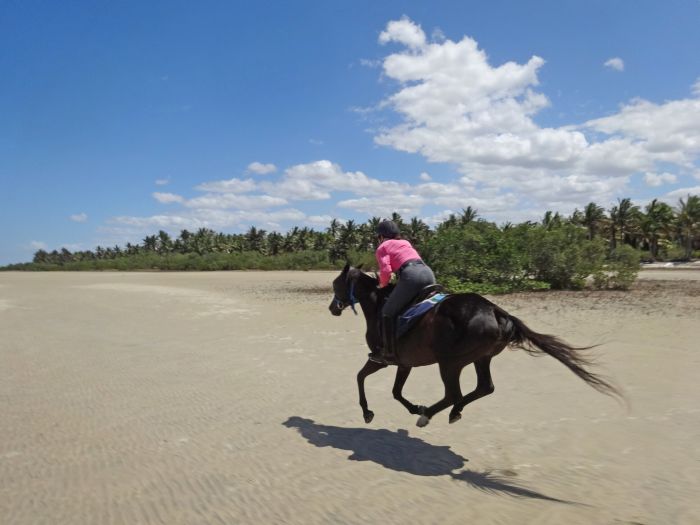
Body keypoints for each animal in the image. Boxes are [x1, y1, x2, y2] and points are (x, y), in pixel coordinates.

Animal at [328, 264, 616, 428]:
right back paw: (451, 412)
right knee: (484, 388)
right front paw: (412, 407)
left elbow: (360, 377)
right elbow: (396, 392)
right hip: (480, 358)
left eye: (336, 284)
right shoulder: (404, 363)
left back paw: (429, 415)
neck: (379, 304)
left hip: (450, 363)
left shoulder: (380, 359)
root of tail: (496, 311)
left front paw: (368, 412)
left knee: (454, 393)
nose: (332, 308)